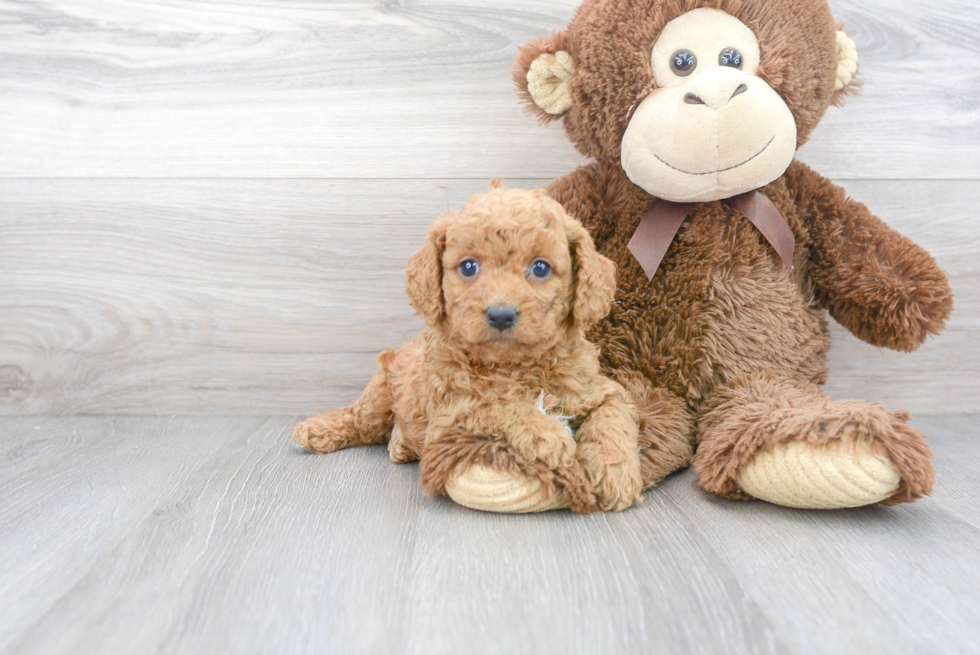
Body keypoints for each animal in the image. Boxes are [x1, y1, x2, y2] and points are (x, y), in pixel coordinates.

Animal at [290, 183, 644, 512]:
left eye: (541, 268)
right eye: (469, 267)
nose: (500, 314)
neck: (514, 365)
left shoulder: (597, 388)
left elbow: (612, 415)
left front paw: (616, 473)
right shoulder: (451, 417)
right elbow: (496, 405)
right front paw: (549, 434)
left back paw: (400, 445)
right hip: (381, 391)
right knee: (360, 420)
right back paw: (316, 429)